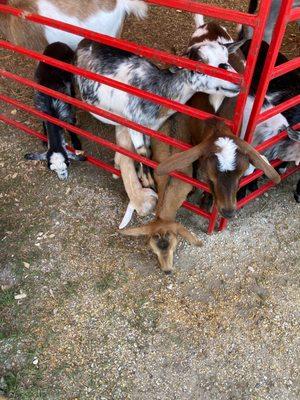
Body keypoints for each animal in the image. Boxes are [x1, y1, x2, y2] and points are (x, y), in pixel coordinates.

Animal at [24, 41, 85, 179]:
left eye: (67, 163)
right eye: (51, 168)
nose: (63, 178)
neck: (52, 110)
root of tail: (57, 43)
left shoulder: (66, 112)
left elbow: (71, 126)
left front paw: (76, 143)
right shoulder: (41, 109)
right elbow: (43, 123)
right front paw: (44, 137)